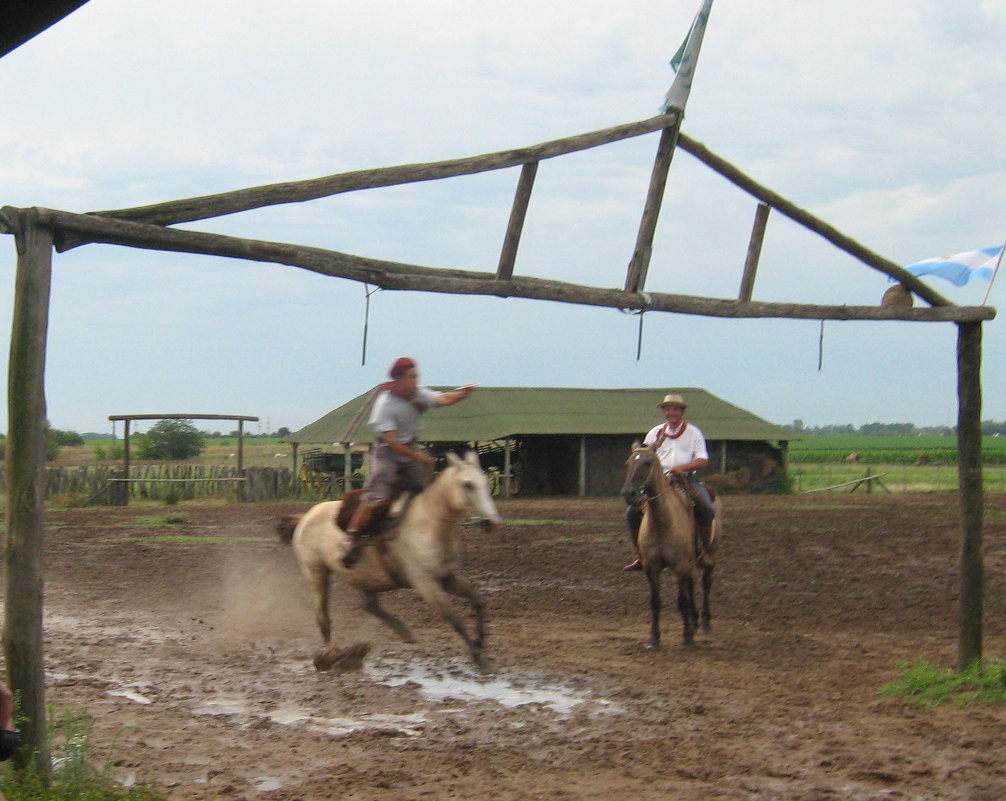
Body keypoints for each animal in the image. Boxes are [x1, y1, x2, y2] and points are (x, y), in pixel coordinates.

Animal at [279, 450, 503, 668]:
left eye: (485, 481)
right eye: (468, 484)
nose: (491, 521)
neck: (430, 525)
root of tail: (305, 517)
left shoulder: (449, 577)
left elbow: (478, 601)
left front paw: (480, 642)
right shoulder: (426, 584)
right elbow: (455, 620)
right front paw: (480, 658)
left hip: (366, 576)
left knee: (369, 605)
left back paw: (400, 633)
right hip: (316, 571)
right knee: (323, 616)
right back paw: (331, 655)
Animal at [619, 444, 724, 652]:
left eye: (647, 462)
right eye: (628, 463)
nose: (629, 494)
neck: (662, 521)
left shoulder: (680, 566)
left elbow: (682, 600)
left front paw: (687, 637)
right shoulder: (652, 568)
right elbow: (655, 602)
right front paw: (654, 638)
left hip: (709, 557)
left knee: (706, 584)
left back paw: (705, 623)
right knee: (691, 585)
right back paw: (694, 620)